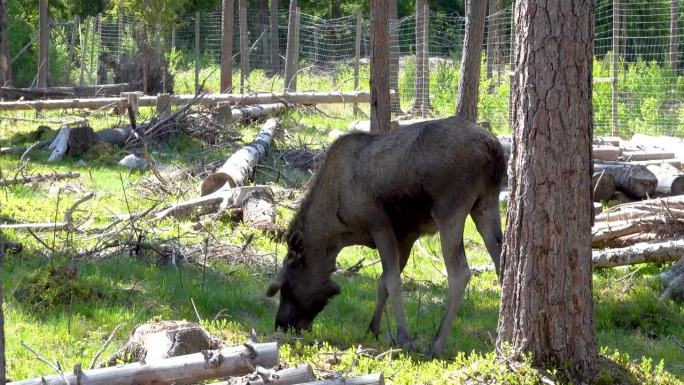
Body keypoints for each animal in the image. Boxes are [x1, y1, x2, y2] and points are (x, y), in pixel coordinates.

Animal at [268, 115, 508, 356]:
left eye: (286, 288)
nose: (281, 323)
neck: (338, 232)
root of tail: (493, 146)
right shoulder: (406, 235)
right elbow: (383, 281)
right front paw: (373, 329)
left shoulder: (379, 224)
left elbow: (392, 281)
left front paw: (404, 338)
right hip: (485, 202)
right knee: (502, 261)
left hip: (450, 208)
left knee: (460, 273)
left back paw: (436, 343)